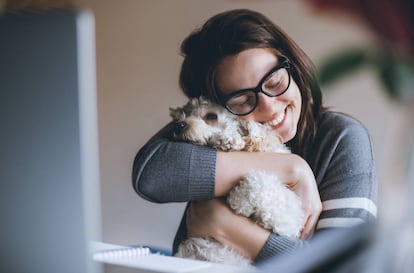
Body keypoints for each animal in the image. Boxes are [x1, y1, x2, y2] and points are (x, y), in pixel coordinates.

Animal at [168, 96, 304, 264]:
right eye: (185, 113)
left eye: (211, 116)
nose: (177, 125)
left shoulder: (288, 222)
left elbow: (258, 181)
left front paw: (238, 200)